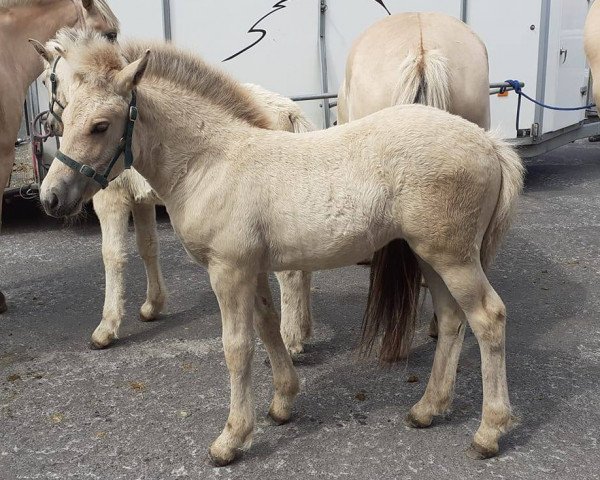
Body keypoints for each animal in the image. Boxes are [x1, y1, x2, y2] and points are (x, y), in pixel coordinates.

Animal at [37, 32, 524, 464]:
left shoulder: (228, 270)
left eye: (100, 126)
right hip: (430, 256)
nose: (50, 198)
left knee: (489, 317)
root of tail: (490, 143)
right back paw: (428, 408)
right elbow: (268, 327)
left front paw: (231, 439)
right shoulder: (252, 268)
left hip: (453, 257)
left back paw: (489, 432)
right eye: (65, 116)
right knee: (452, 318)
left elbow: (237, 347)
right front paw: (283, 403)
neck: (212, 163)